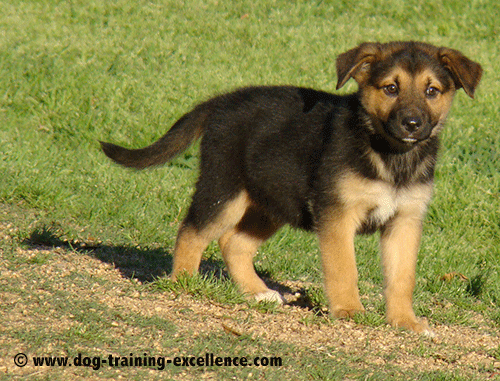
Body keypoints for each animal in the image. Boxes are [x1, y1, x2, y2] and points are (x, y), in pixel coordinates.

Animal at [100, 40, 480, 332]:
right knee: (192, 232)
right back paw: (184, 284)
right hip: (225, 190)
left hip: (270, 200)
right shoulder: (337, 215)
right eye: (390, 88)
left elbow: (402, 278)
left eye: (431, 91)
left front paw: (405, 321)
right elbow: (344, 269)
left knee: (233, 243)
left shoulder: (405, 221)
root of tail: (222, 102)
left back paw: (257, 292)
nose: (412, 124)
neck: (392, 156)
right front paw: (350, 311)